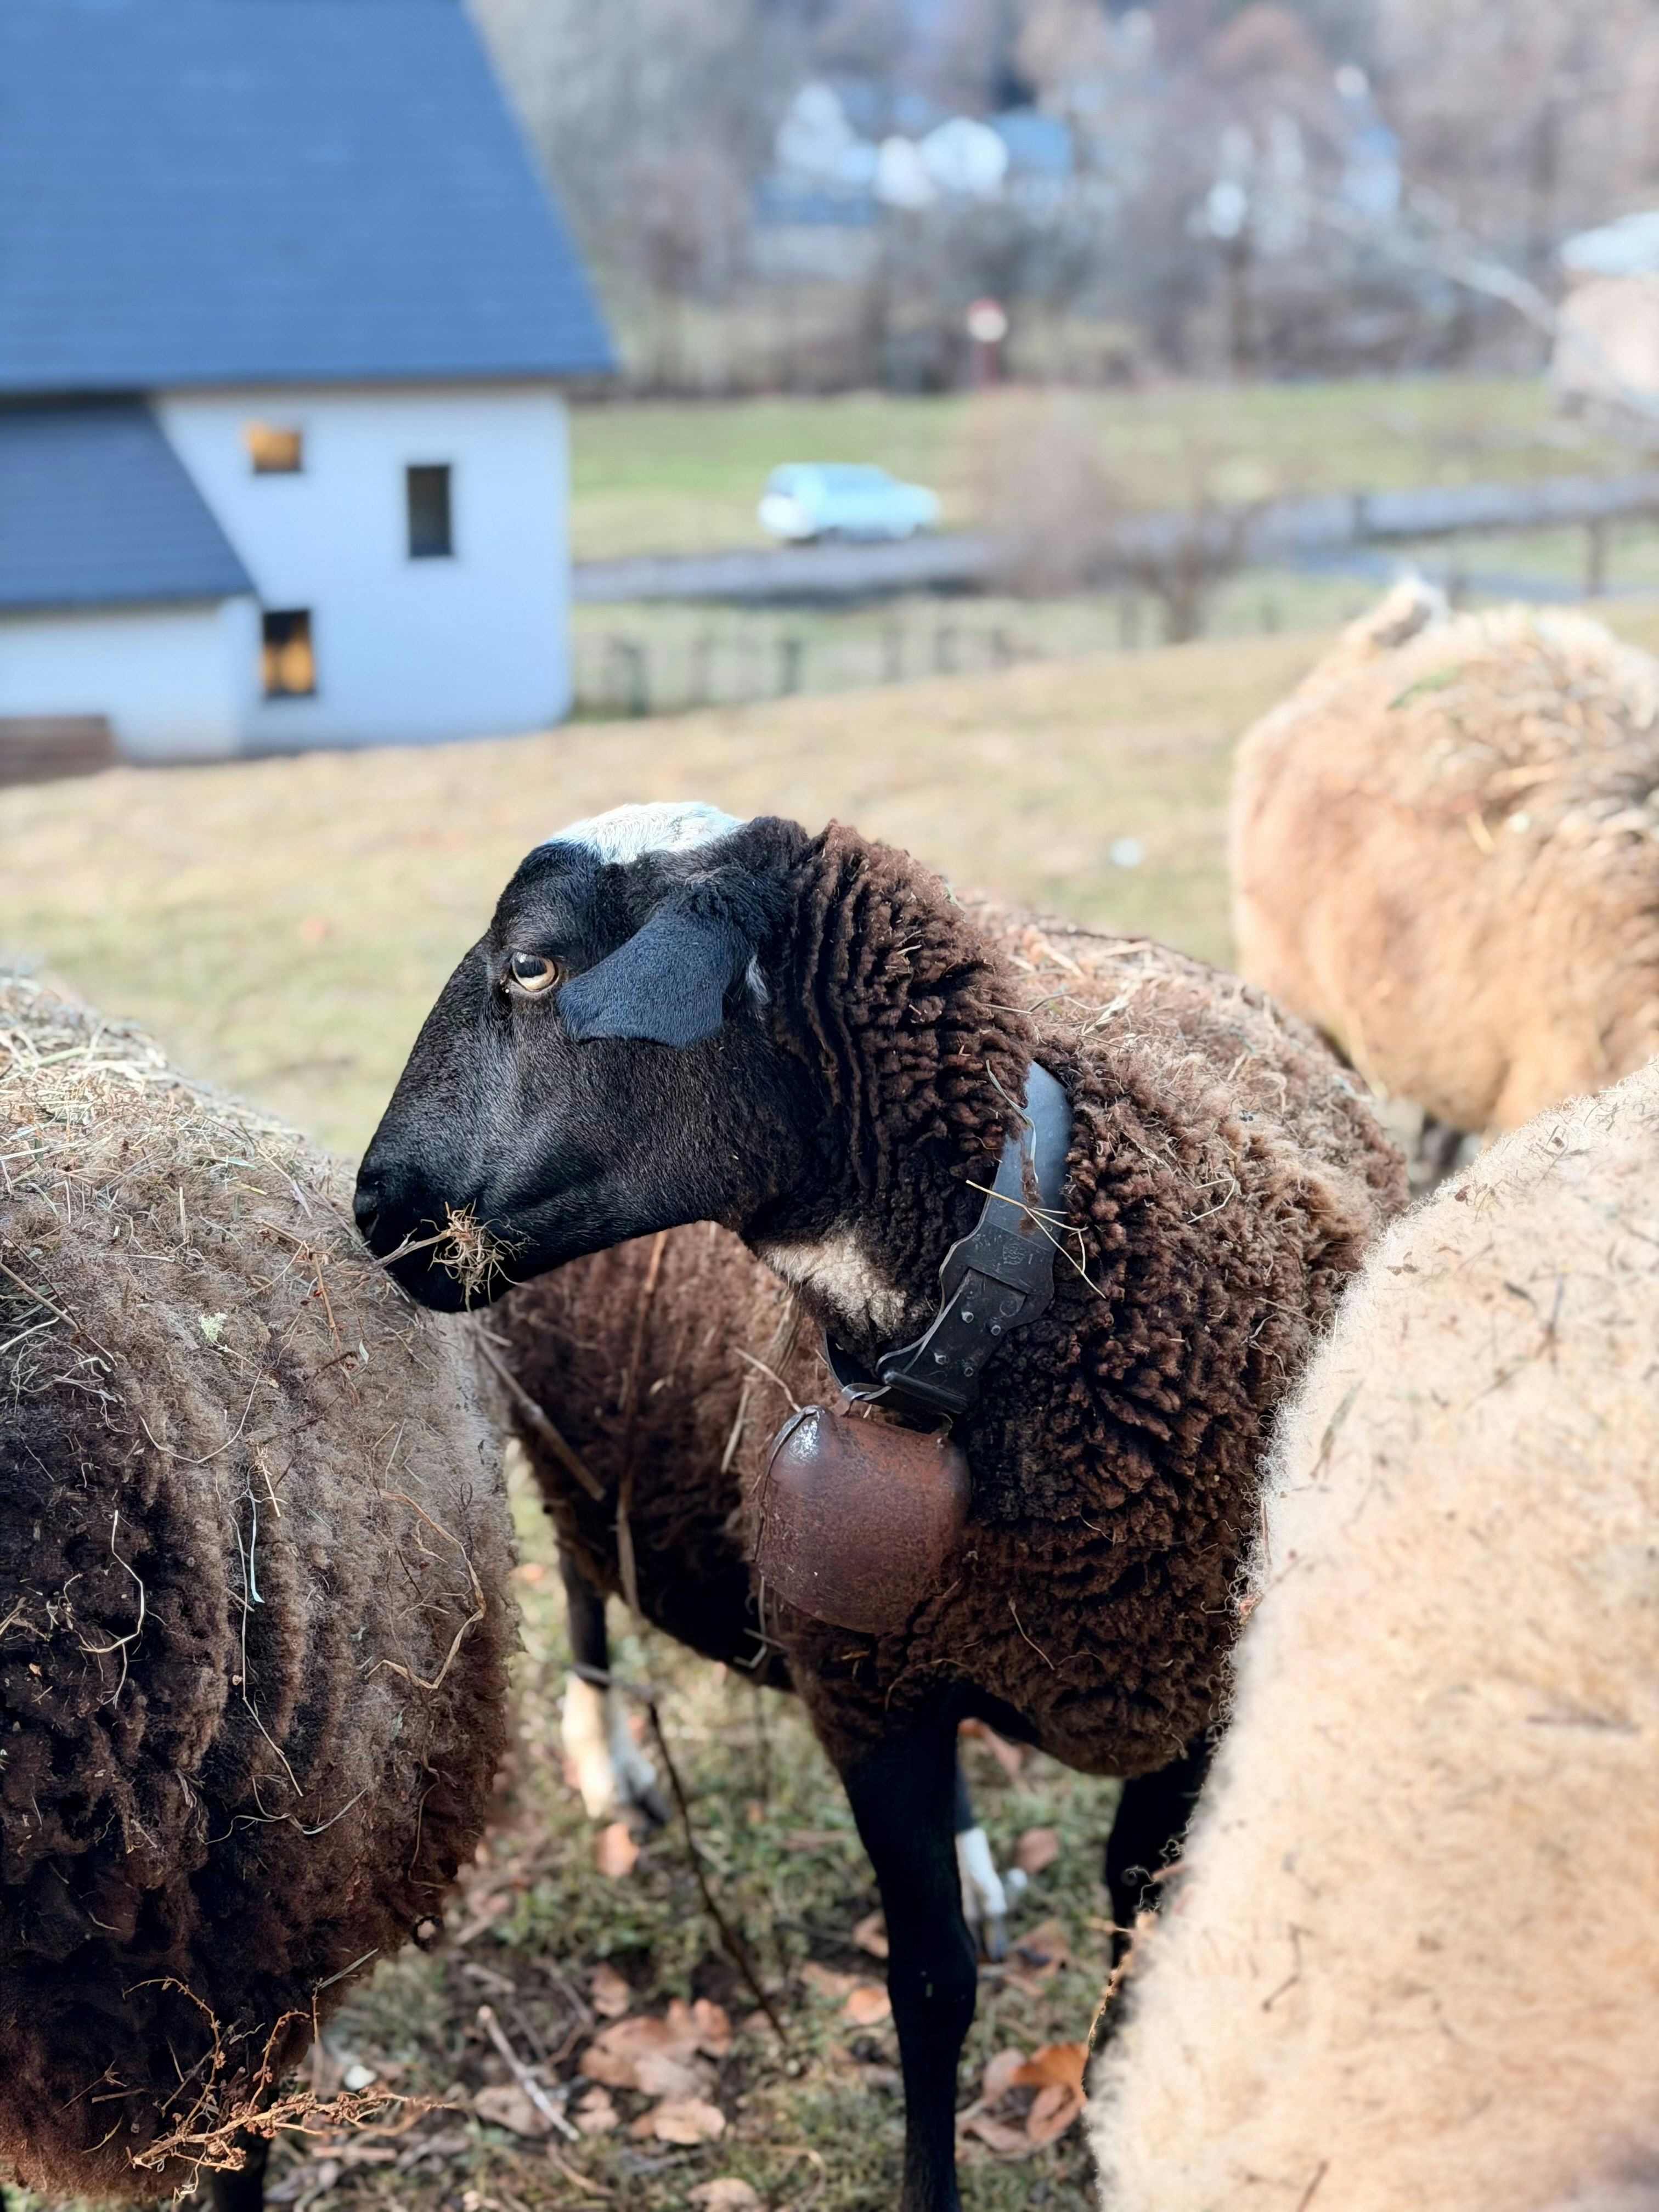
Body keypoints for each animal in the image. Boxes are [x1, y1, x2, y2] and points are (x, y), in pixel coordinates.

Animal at [354, 801, 1406, 2212]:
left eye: (530, 964)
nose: (375, 1207)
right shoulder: (863, 1692)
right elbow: (929, 1986)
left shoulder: (1190, 1696)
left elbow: (1135, 1924)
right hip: (567, 1444)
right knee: (579, 1581)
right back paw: (607, 1764)